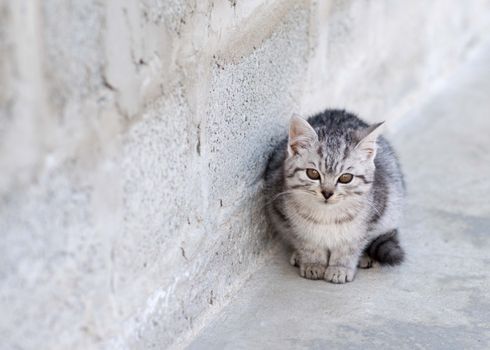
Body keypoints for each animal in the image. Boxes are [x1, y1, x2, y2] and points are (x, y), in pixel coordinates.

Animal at [264, 110, 406, 284]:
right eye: (313, 173)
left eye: (345, 177)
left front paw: (340, 268)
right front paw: (313, 263)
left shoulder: (374, 214)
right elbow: (307, 243)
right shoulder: (283, 213)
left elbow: (349, 247)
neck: (327, 216)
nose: (327, 193)